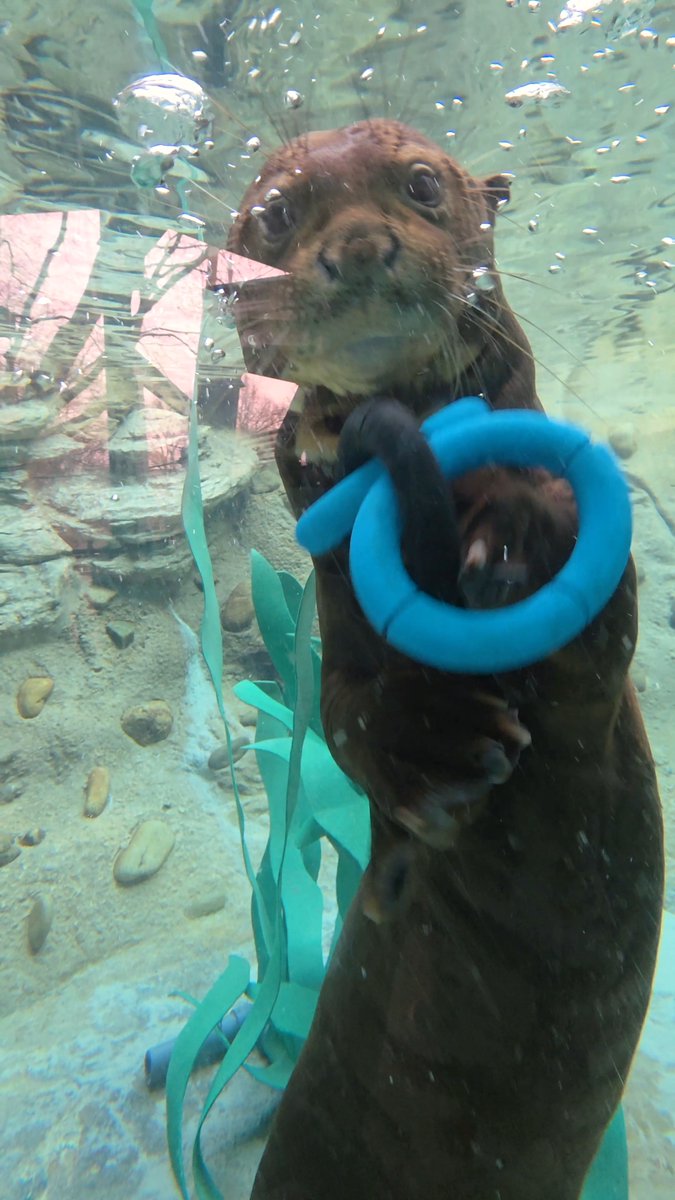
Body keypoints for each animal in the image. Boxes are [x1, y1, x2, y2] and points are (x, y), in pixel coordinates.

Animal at [227, 119, 664, 1200]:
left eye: (421, 185)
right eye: (278, 215)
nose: (357, 248)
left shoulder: (606, 649)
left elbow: (595, 636)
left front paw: (516, 522)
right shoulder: (333, 619)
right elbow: (343, 714)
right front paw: (430, 741)